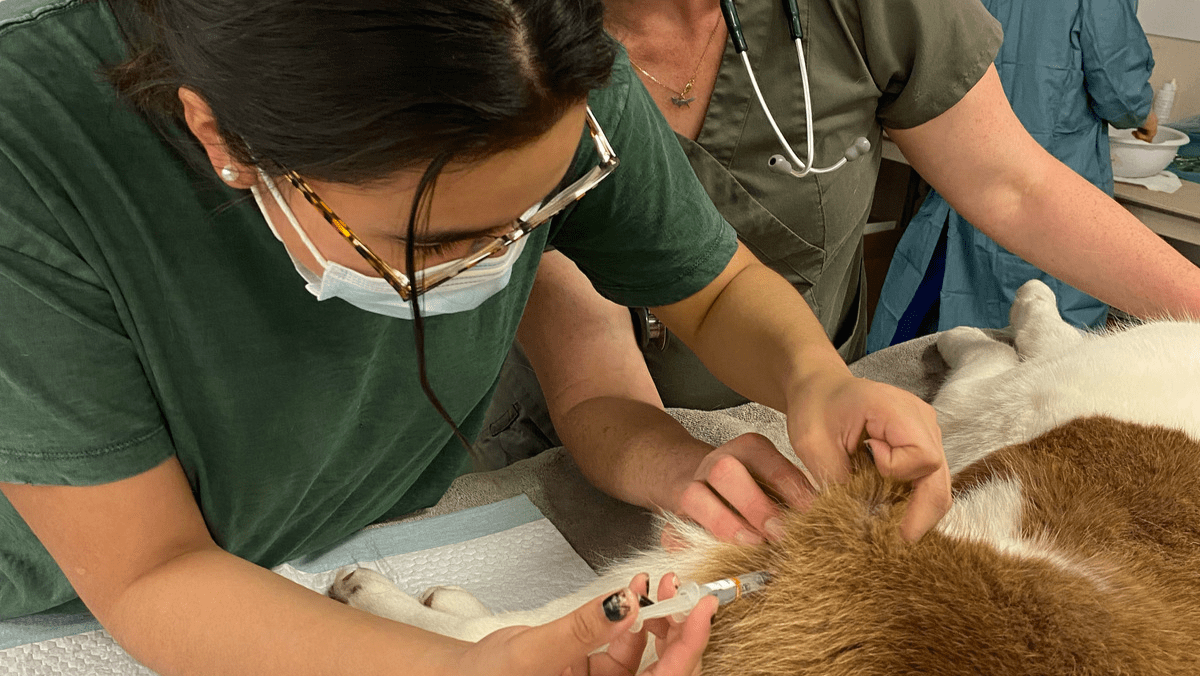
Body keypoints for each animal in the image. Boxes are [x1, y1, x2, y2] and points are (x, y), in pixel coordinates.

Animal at [333, 277, 1200, 672]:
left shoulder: (1001, 398)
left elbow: (1010, 350)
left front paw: (1004, 313)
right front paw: (990, 318)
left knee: (507, 639)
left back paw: (389, 598)